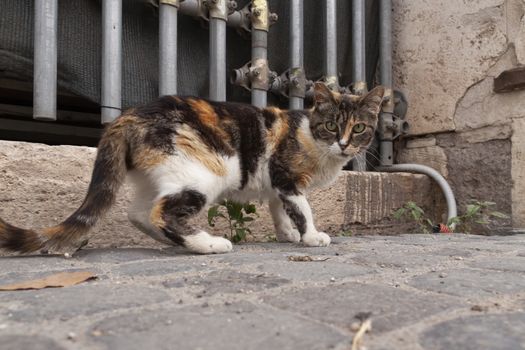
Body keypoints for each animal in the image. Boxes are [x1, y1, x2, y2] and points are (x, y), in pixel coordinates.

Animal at [0, 83, 384, 256]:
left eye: (359, 129)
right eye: (332, 126)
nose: (345, 144)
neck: (310, 135)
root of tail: (129, 115)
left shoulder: (276, 183)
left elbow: (280, 208)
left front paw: (287, 234)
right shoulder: (286, 174)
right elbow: (302, 207)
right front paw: (311, 236)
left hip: (156, 174)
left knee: (139, 212)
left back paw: (174, 243)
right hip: (204, 171)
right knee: (161, 212)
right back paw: (207, 243)